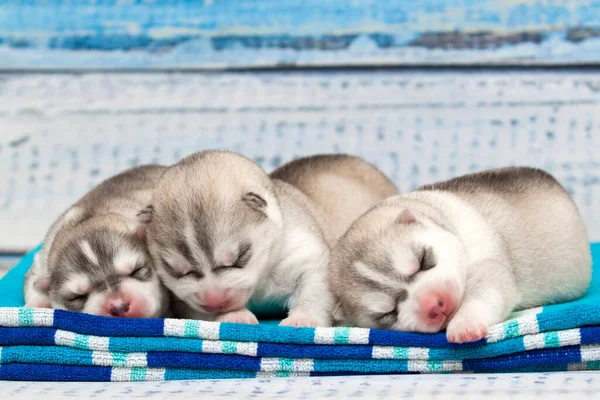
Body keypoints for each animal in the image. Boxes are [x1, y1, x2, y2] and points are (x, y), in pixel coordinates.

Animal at [23, 163, 169, 318]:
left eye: (137, 270)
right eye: (77, 296)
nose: (119, 306)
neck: (85, 222)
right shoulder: (42, 260)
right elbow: (33, 279)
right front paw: (36, 304)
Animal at [138, 152, 396, 326]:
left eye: (240, 258)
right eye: (178, 271)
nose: (215, 301)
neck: (261, 276)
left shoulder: (306, 254)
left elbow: (315, 288)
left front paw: (302, 319)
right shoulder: (184, 299)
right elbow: (196, 309)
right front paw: (234, 315)